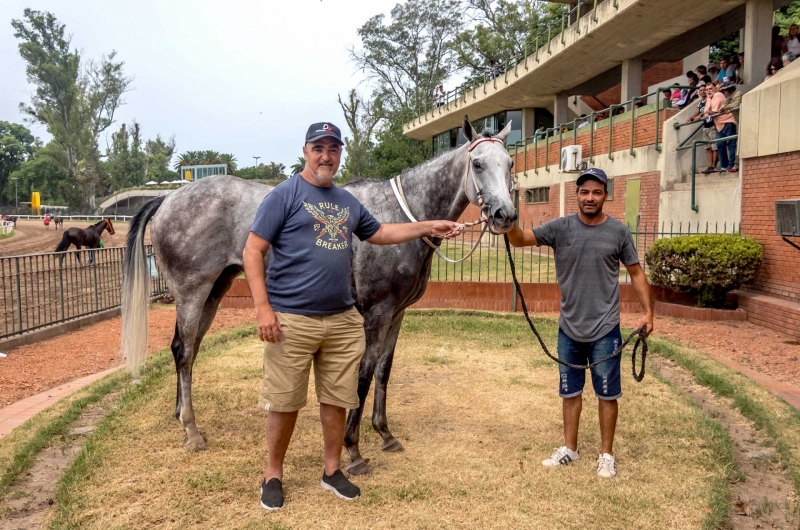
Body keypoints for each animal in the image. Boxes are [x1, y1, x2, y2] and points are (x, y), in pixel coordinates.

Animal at [121, 117, 516, 472]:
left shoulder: (397, 313)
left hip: (214, 291)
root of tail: (168, 198)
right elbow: (364, 374)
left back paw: (180, 415)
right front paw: (353, 449)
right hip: (192, 291)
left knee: (188, 350)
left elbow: (384, 371)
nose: (505, 215)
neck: (401, 216)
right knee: (183, 351)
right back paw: (191, 430)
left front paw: (385, 433)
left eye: (510, 163)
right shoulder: (377, 313)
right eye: (478, 164)